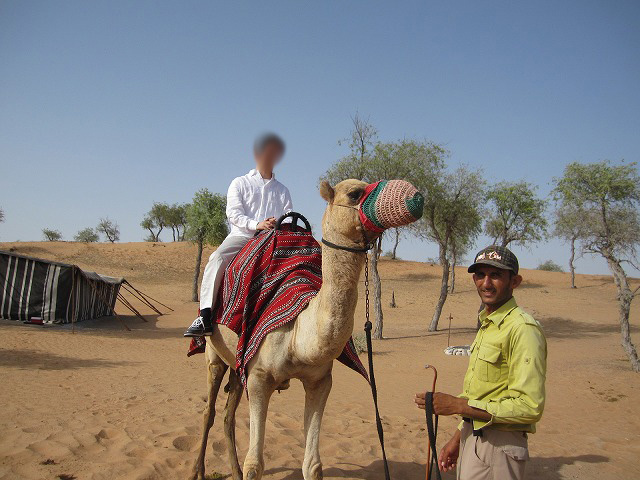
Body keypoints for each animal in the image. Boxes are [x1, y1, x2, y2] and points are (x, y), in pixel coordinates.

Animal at [190, 178, 423, 480]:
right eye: (354, 194)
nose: (414, 197)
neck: (298, 335)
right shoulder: (259, 377)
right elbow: (256, 465)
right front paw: (248, 468)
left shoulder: (320, 380)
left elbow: (312, 465)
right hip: (214, 354)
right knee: (208, 411)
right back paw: (198, 470)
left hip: (237, 362)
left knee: (228, 415)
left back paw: (234, 470)